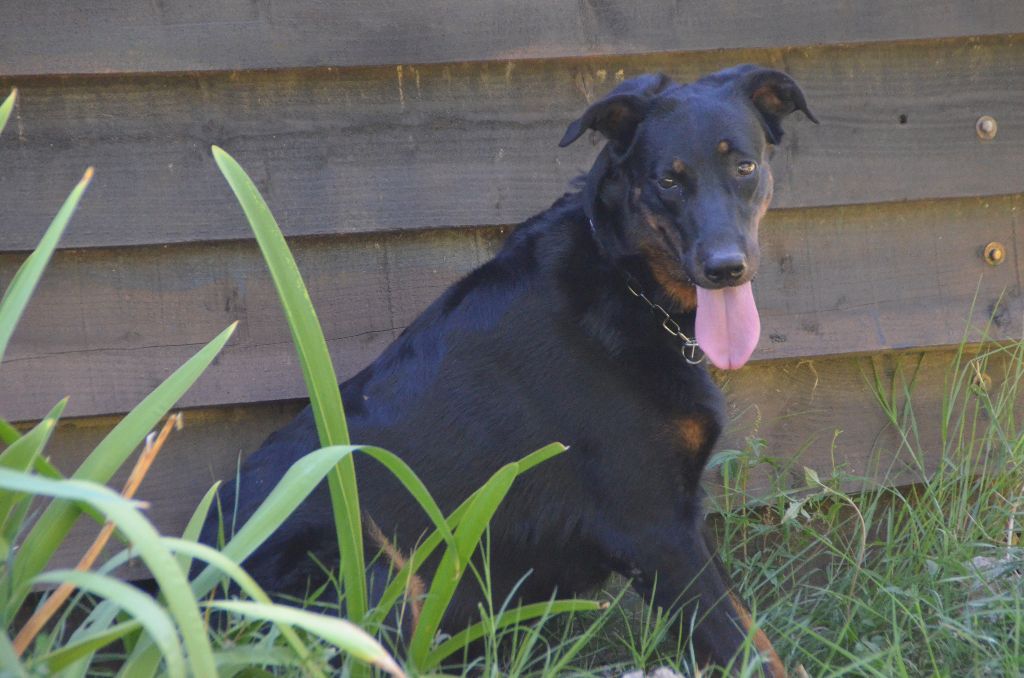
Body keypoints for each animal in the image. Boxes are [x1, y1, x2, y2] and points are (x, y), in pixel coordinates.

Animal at [201, 62, 815, 675]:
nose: (725, 268)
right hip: (373, 573)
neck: (625, 279)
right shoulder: (655, 526)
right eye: (668, 180)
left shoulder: (682, 520)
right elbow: (745, 647)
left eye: (744, 167)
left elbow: (755, 635)